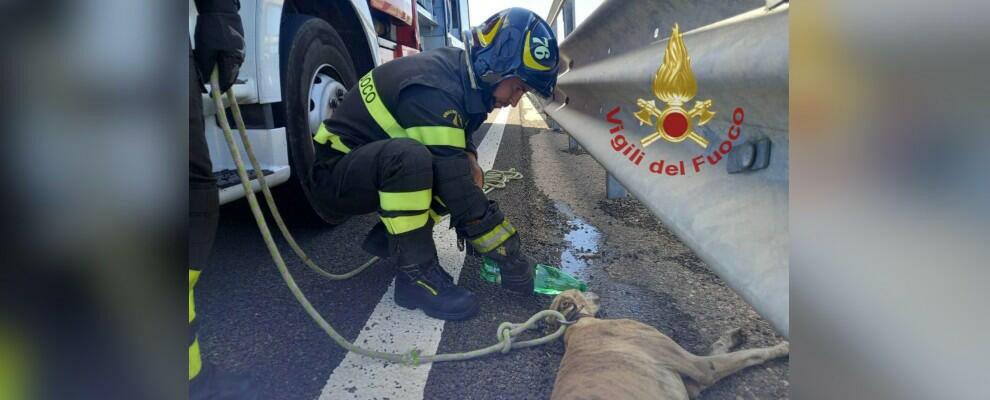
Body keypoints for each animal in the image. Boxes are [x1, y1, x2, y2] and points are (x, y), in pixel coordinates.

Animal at [548, 290, 788, 400]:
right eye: (579, 290)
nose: (595, 292)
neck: (576, 324)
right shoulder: (702, 369)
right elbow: (752, 354)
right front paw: (783, 347)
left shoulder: (691, 384)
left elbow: (719, 348)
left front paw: (731, 338)